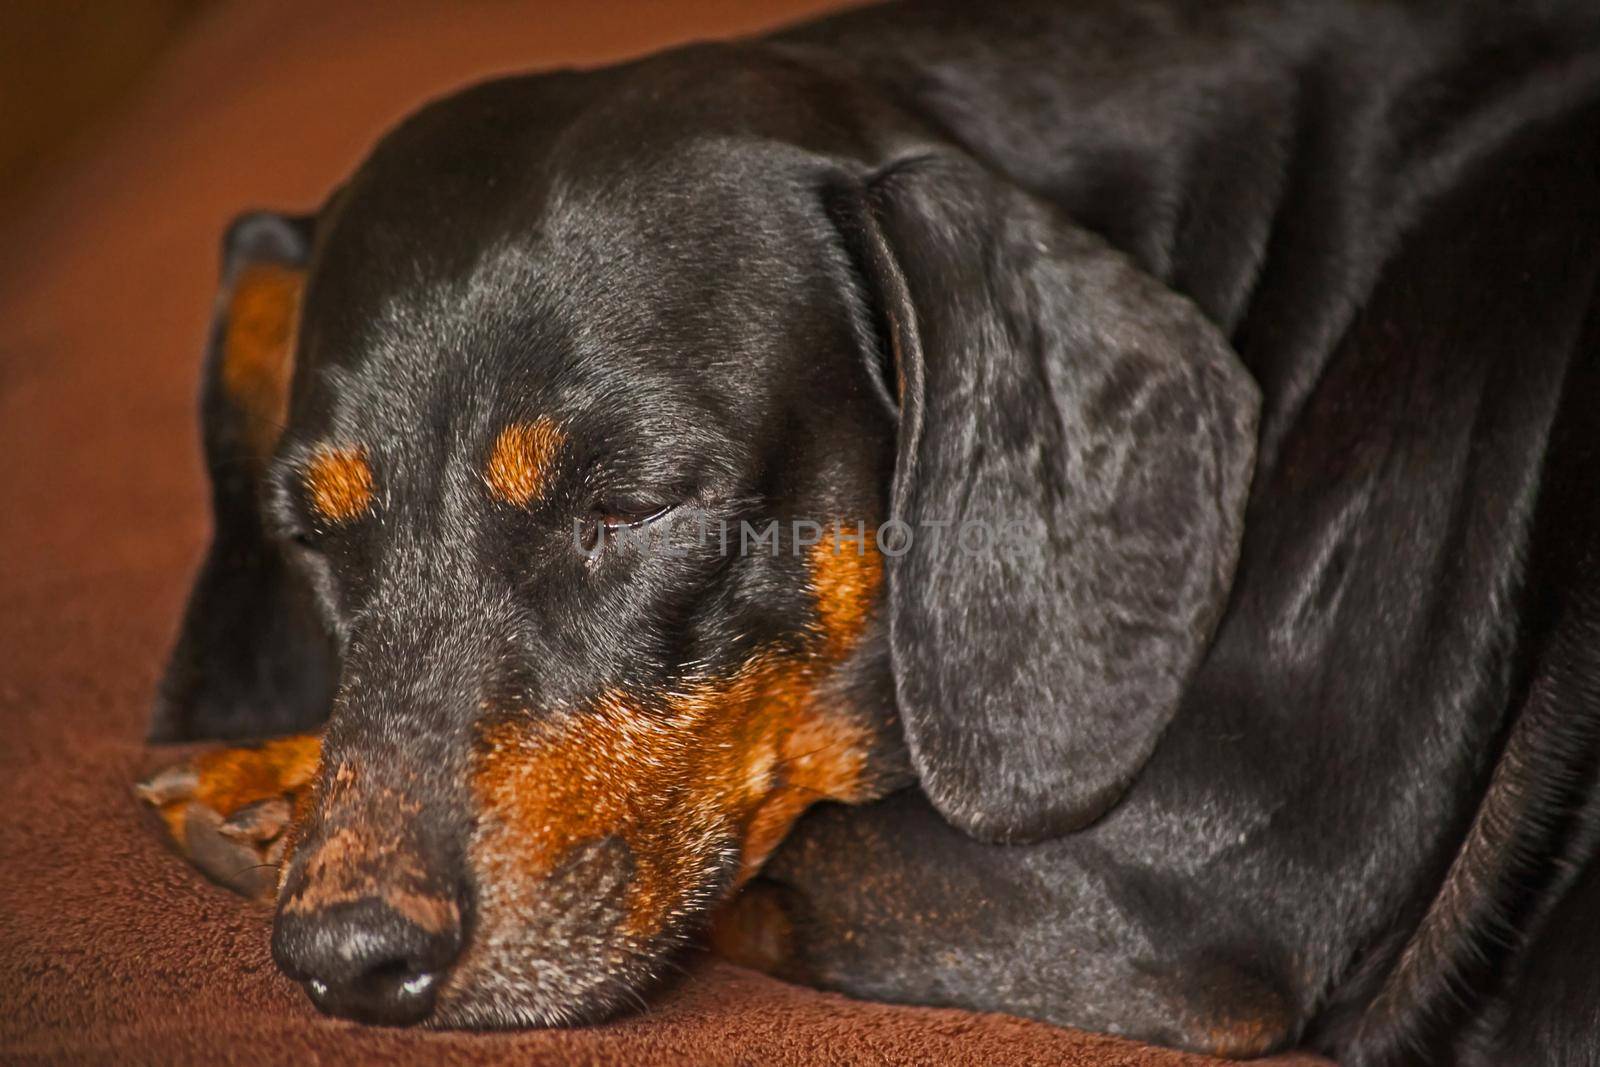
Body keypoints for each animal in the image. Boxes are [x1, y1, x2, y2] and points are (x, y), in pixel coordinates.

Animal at [137, 4, 1600, 1062]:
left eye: (633, 503)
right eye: (314, 535)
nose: (350, 957)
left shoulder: (1211, 866)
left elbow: (787, 848)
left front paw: (262, 784)